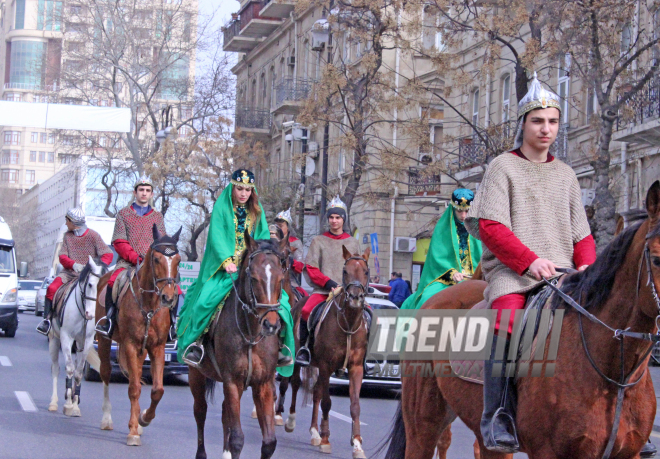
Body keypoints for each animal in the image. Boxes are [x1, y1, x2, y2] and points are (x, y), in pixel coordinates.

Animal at [48, 256, 104, 418]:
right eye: (90, 284)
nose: (90, 314)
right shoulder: (66, 337)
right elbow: (69, 369)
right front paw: (67, 404)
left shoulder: (87, 342)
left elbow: (78, 373)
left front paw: (74, 405)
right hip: (54, 339)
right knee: (55, 368)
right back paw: (53, 403)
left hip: (79, 345)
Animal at [93, 225, 180, 448]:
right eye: (156, 259)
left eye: (178, 260)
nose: (168, 297)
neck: (148, 305)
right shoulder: (131, 345)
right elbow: (133, 388)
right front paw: (132, 431)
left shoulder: (157, 348)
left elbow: (158, 390)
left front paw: (144, 419)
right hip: (105, 341)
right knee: (106, 373)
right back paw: (106, 419)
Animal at [186, 234, 288, 459]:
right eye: (254, 278)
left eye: (281, 278)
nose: (271, 325)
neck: (250, 334)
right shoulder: (232, 381)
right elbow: (237, 439)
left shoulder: (263, 383)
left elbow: (269, 442)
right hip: (196, 374)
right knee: (200, 411)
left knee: (224, 412)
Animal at [278, 248, 372, 459]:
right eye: (345, 271)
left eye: (366, 271)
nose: (355, 297)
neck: (348, 324)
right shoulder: (326, 366)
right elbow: (327, 402)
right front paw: (326, 439)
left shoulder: (355, 368)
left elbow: (355, 406)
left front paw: (357, 444)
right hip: (300, 360)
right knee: (293, 384)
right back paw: (290, 420)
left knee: (315, 393)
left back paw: (314, 432)